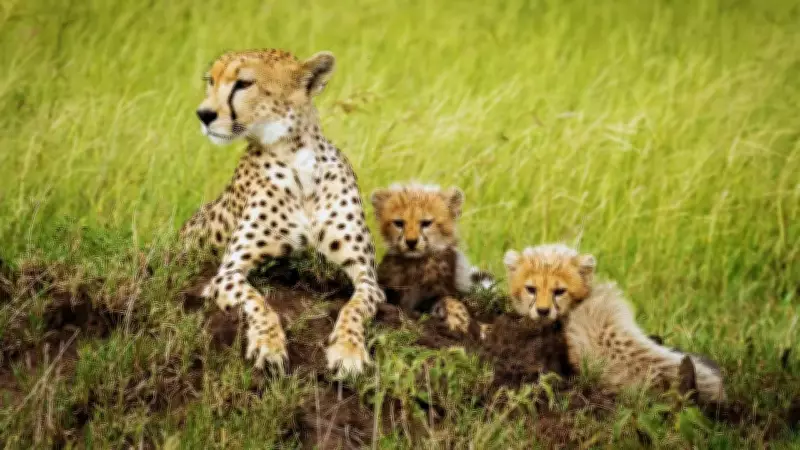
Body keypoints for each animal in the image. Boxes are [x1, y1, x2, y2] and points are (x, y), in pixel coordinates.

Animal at [180, 48, 384, 375]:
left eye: (243, 83)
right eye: (210, 81)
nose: (204, 114)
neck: (297, 158)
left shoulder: (366, 275)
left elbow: (354, 307)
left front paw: (348, 350)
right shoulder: (227, 273)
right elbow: (257, 302)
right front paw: (269, 345)